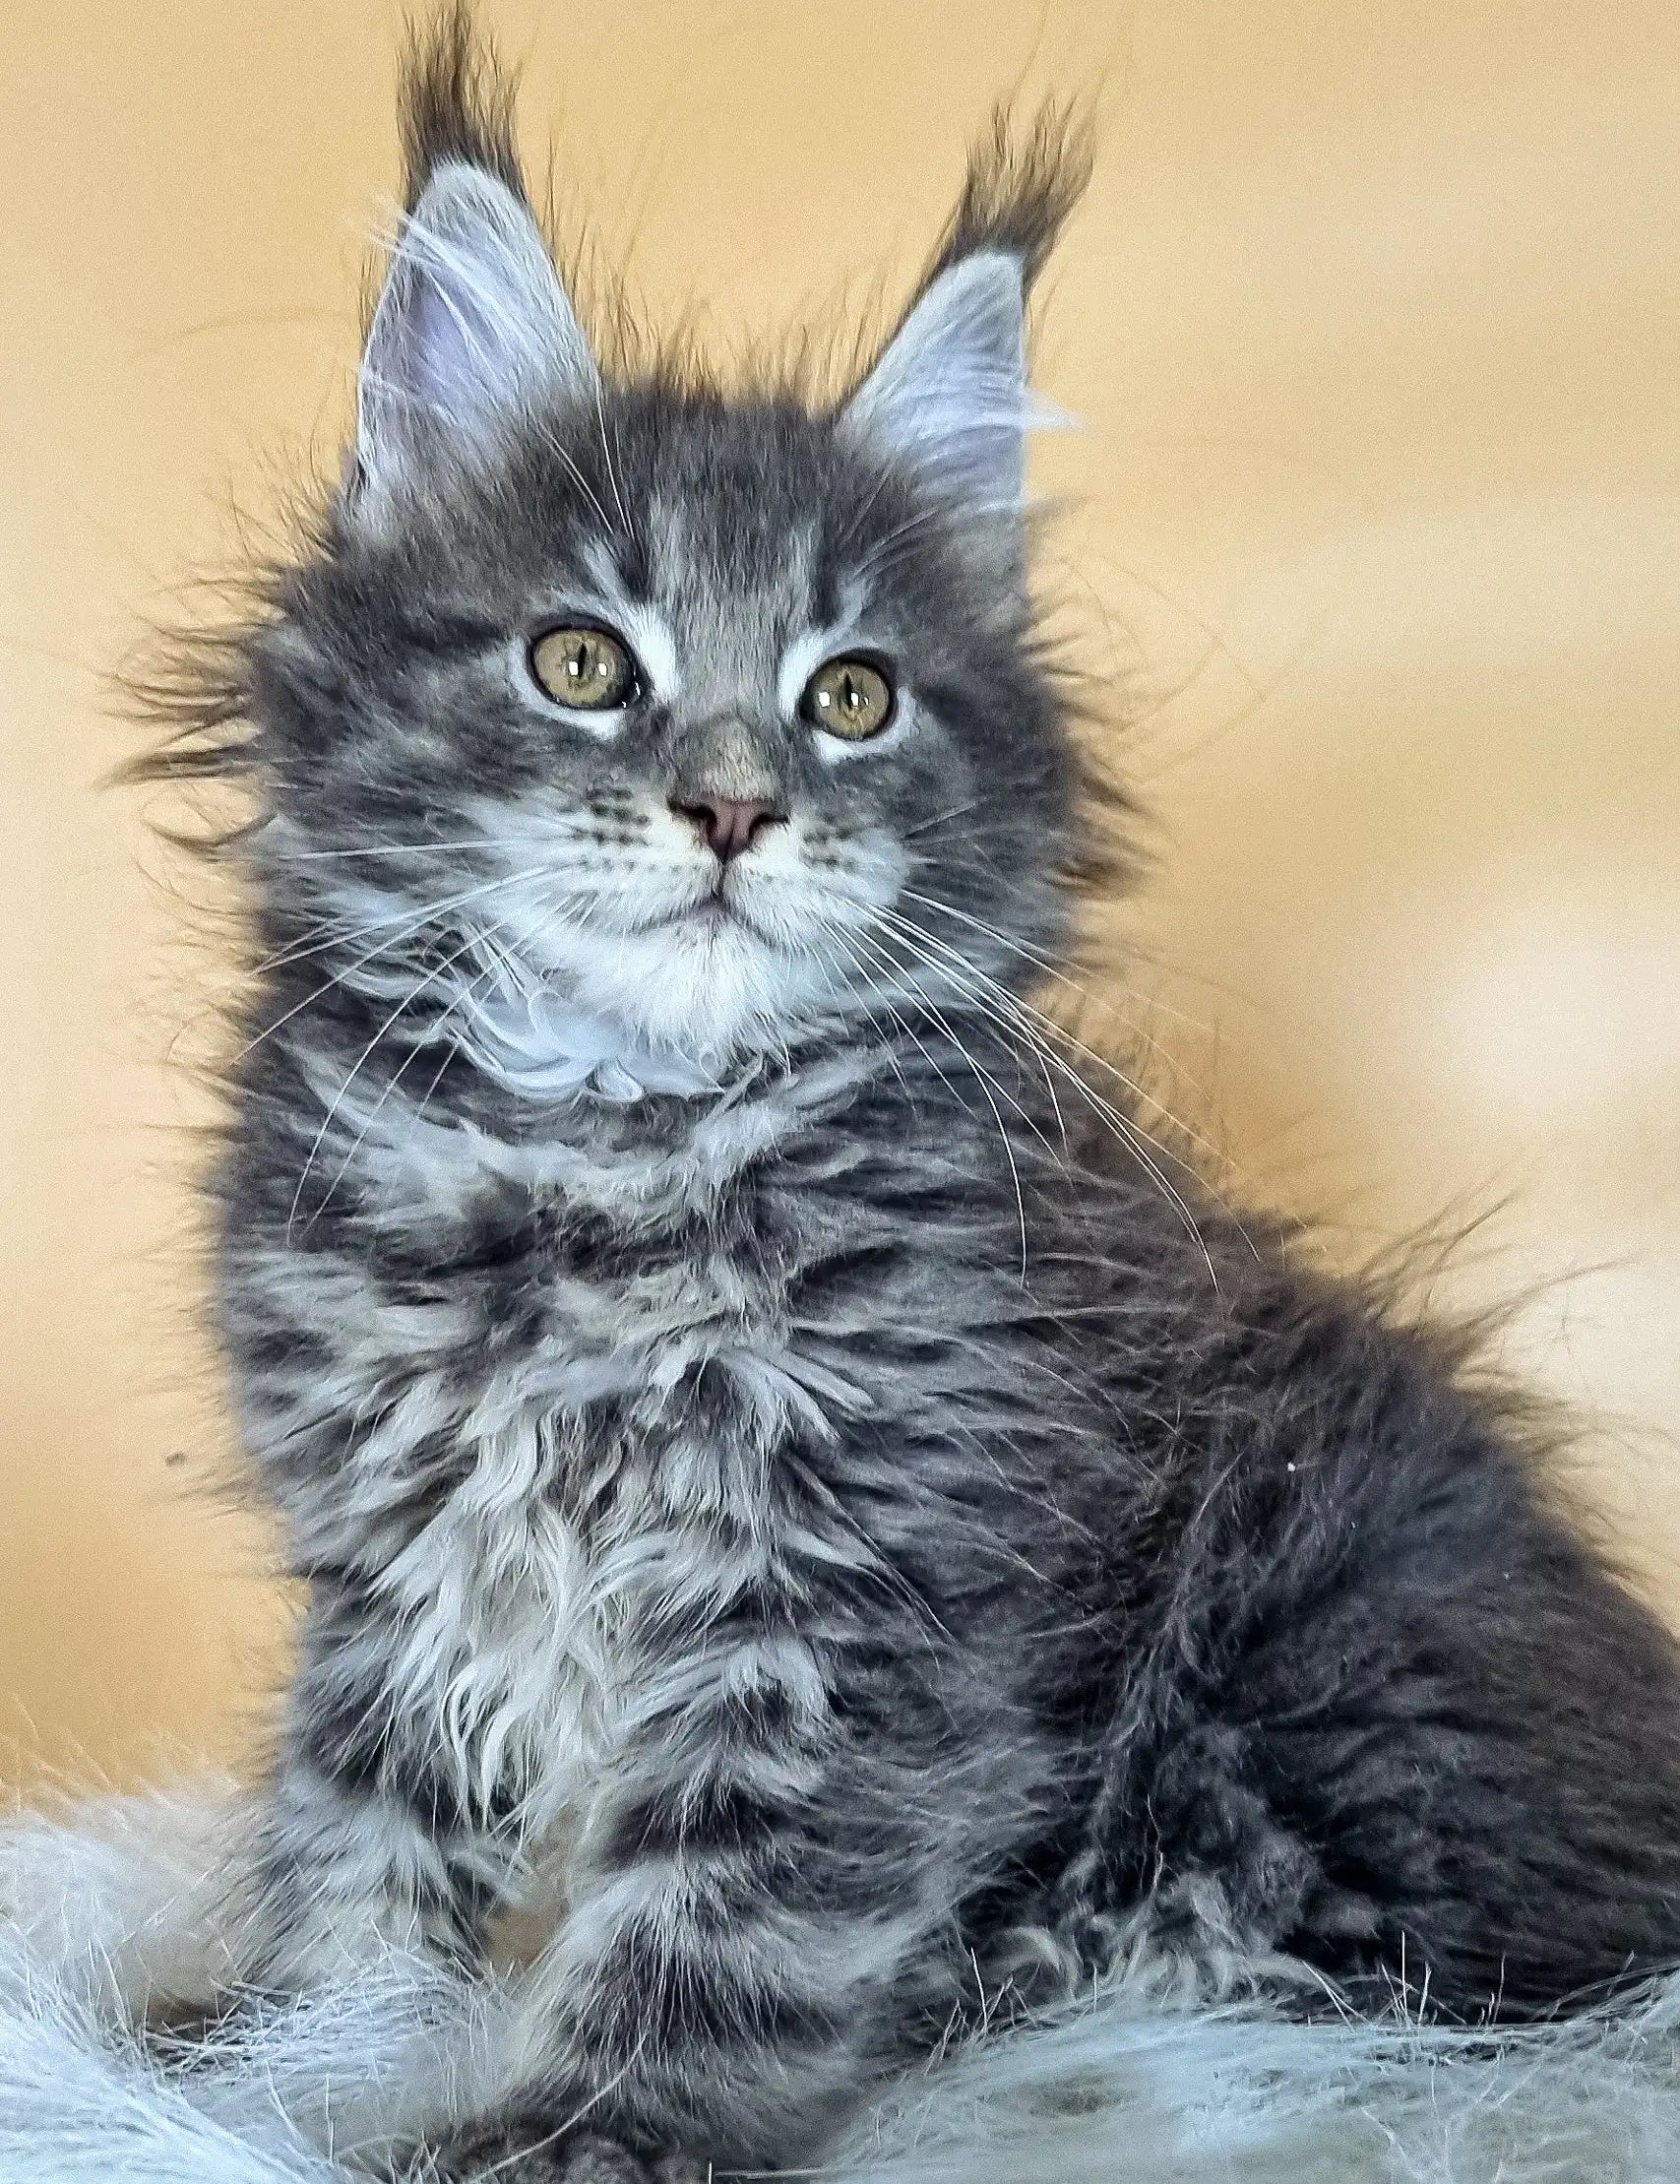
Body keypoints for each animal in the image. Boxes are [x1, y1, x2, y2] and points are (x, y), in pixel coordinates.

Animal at [134, 8, 1680, 2175]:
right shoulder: (401, 1564)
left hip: (1322, 1695)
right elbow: (361, 1842)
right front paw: (288, 2056)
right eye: (579, 660)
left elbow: (725, 1908)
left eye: (850, 694)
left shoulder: (864, 1593)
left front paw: (587, 2124)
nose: (730, 805)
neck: (606, 1148)